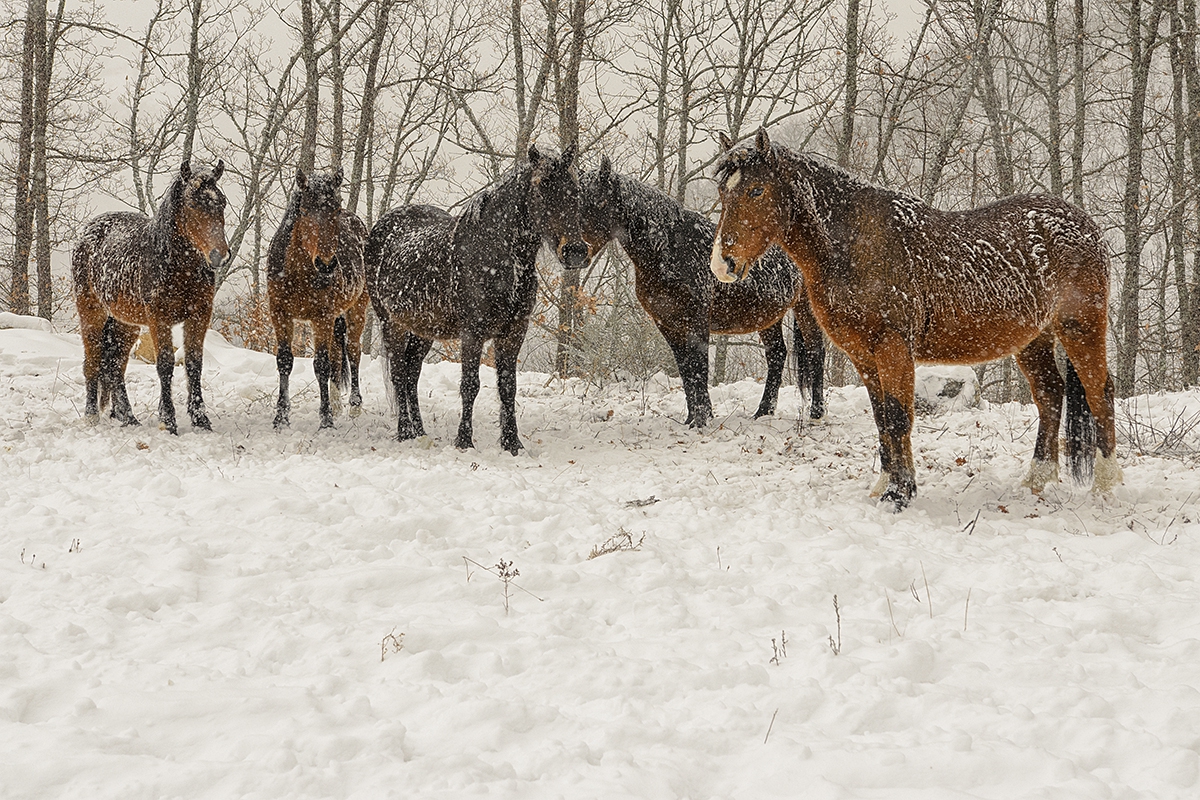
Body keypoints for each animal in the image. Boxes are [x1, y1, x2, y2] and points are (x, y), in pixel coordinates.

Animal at [72, 158, 229, 434]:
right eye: (192, 204)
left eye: (222, 203)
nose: (220, 255)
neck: (176, 265)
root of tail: (88, 232)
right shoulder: (159, 318)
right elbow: (165, 365)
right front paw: (168, 420)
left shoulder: (199, 316)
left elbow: (194, 364)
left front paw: (201, 419)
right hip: (92, 314)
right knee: (92, 362)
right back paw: (92, 416)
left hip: (125, 324)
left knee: (115, 367)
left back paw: (127, 417)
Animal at [268, 167, 369, 431]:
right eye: (305, 211)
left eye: (335, 209)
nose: (326, 264)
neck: (297, 272)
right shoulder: (280, 314)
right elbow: (285, 361)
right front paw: (281, 417)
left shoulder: (321, 317)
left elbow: (321, 364)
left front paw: (326, 419)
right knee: (336, 355)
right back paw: (336, 402)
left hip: (357, 309)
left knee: (352, 351)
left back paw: (354, 404)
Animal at [364, 144, 590, 455]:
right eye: (541, 189)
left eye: (575, 191)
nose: (575, 251)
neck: (495, 257)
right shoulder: (472, 333)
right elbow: (470, 385)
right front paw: (464, 441)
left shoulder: (513, 332)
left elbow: (508, 386)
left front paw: (512, 444)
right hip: (392, 324)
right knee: (399, 372)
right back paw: (405, 431)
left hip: (423, 331)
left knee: (411, 374)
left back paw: (420, 431)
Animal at [573, 157, 820, 431]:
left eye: (599, 202)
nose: (575, 251)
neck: (669, 250)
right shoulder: (668, 324)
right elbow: (686, 370)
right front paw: (693, 418)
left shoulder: (697, 320)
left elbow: (699, 367)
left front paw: (702, 420)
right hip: (767, 317)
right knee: (776, 355)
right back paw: (763, 412)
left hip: (806, 310)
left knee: (815, 351)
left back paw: (816, 413)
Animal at [705, 128, 1118, 510]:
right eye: (722, 192)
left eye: (756, 190)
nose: (723, 265)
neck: (856, 244)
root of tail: (1084, 224)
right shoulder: (863, 355)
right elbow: (881, 418)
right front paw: (884, 485)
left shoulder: (893, 348)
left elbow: (899, 416)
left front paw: (899, 493)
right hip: (1033, 339)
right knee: (1050, 394)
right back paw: (1036, 479)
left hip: (1080, 327)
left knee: (1099, 393)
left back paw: (1106, 486)